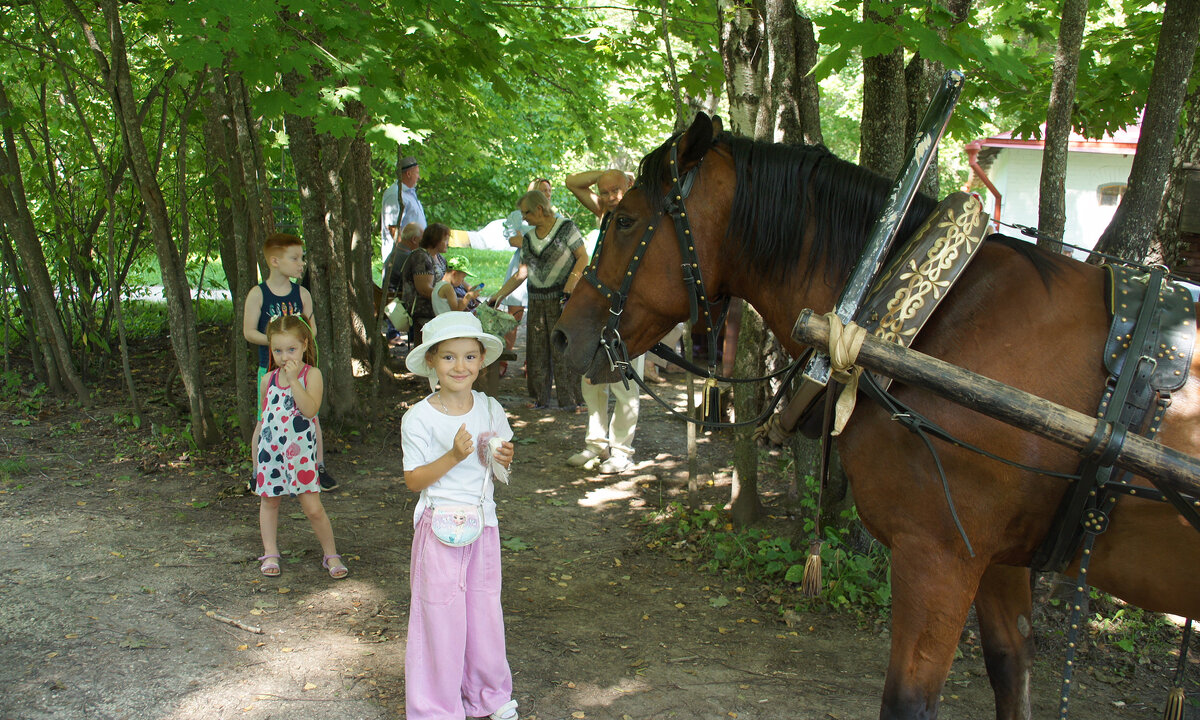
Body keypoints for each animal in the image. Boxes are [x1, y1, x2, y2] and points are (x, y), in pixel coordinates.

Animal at [554, 109, 1200, 715]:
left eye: (624, 220)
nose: (562, 334)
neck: (931, 316)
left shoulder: (938, 557)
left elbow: (908, 701)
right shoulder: (998, 557)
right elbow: (1011, 670)